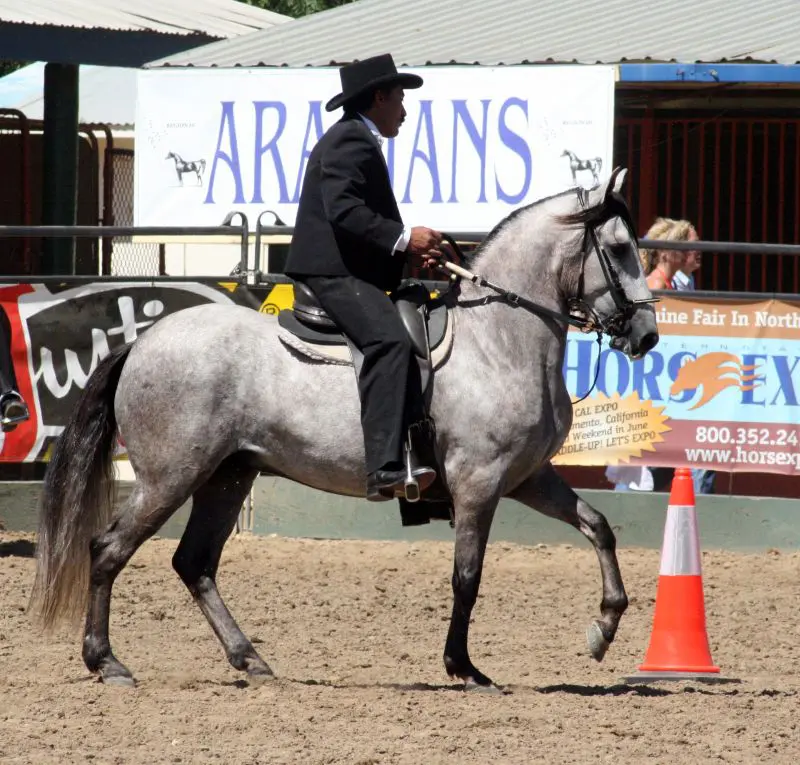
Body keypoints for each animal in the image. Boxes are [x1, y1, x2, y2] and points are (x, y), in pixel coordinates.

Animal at [31, 169, 656, 692]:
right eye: (619, 249)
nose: (647, 335)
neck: (496, 338)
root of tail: (142, 342)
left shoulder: (526, 477)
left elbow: (599, 527)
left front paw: (603, 630)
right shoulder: (479, 483)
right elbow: (467, 576)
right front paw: (464, 667)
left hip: (227, 477)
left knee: (195, 563)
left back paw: (251, 660)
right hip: (170, 476)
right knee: (108, 549)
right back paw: (107, 662)